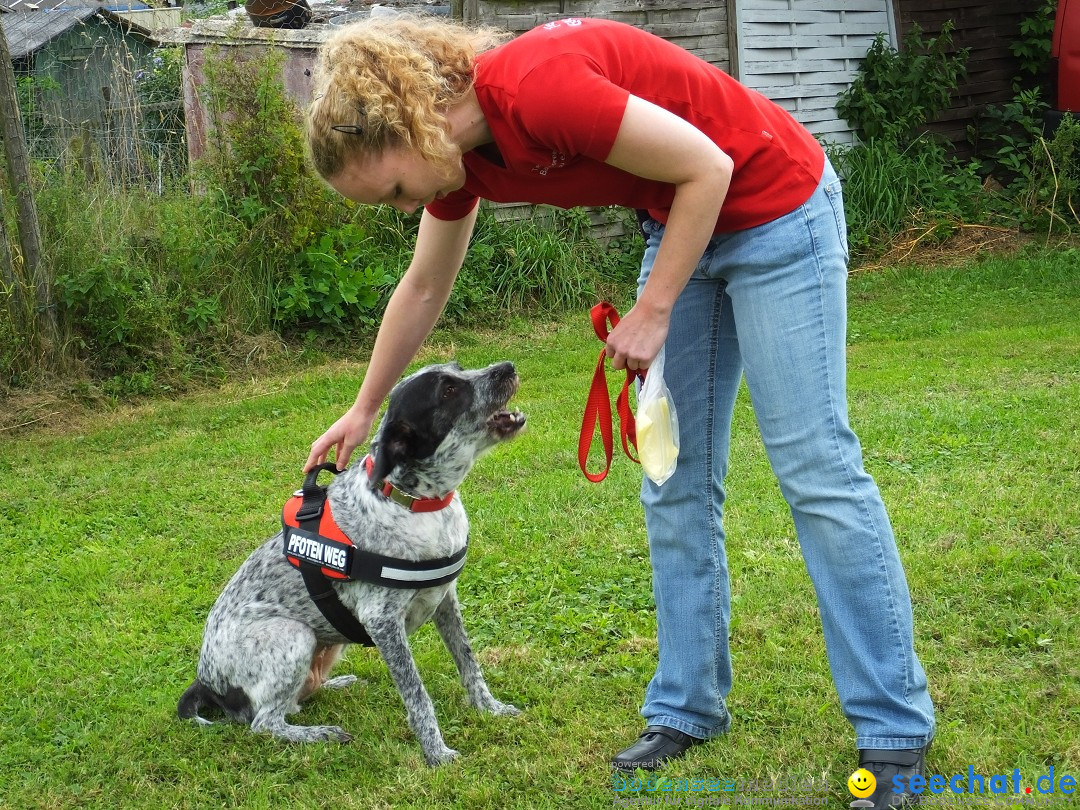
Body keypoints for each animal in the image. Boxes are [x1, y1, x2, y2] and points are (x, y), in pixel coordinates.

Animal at [179, 360, 524, 768]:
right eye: (449, 391)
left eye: (459, 368)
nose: (507, 367)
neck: (413, 503)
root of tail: (205, 682)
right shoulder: (382, 622)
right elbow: (417, 694)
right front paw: (435, 752)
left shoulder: (445, 600)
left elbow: (470, 663)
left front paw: (490, 708)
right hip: (294, 635)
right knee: (264, 722)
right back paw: (319, 734)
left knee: (293, 702)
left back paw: (337, 686)